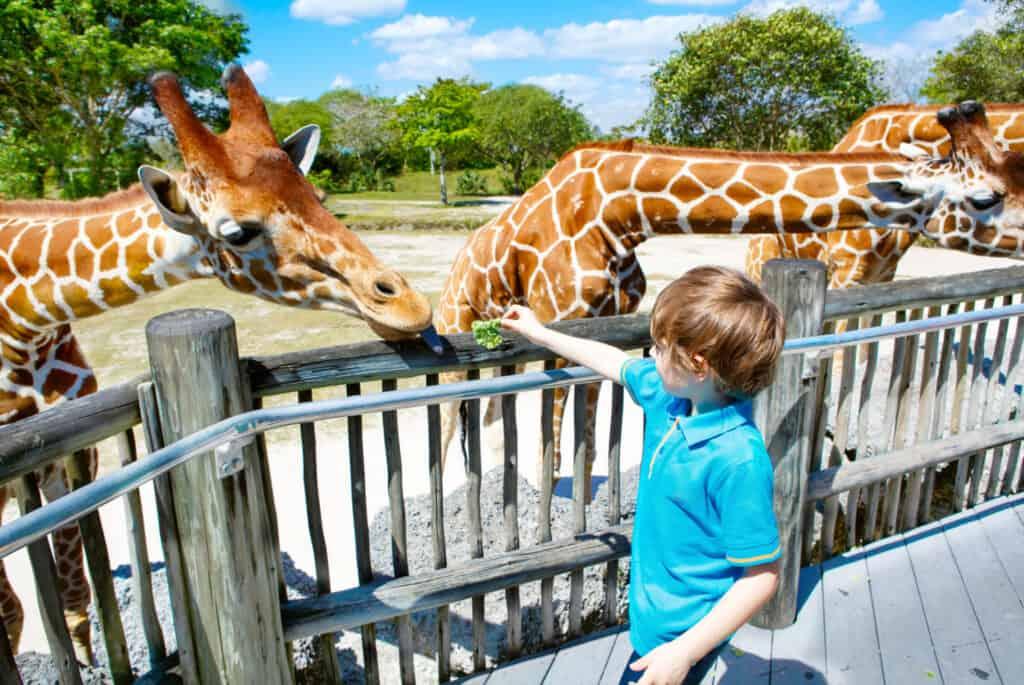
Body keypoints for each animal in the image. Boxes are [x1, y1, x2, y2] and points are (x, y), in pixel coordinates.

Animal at [0, 64, 434, 661]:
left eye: (318, 195)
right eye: (238, 232)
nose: (410, 306)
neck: (26, 318)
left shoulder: (67, 454)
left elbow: (72, 595)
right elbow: (18, 609)